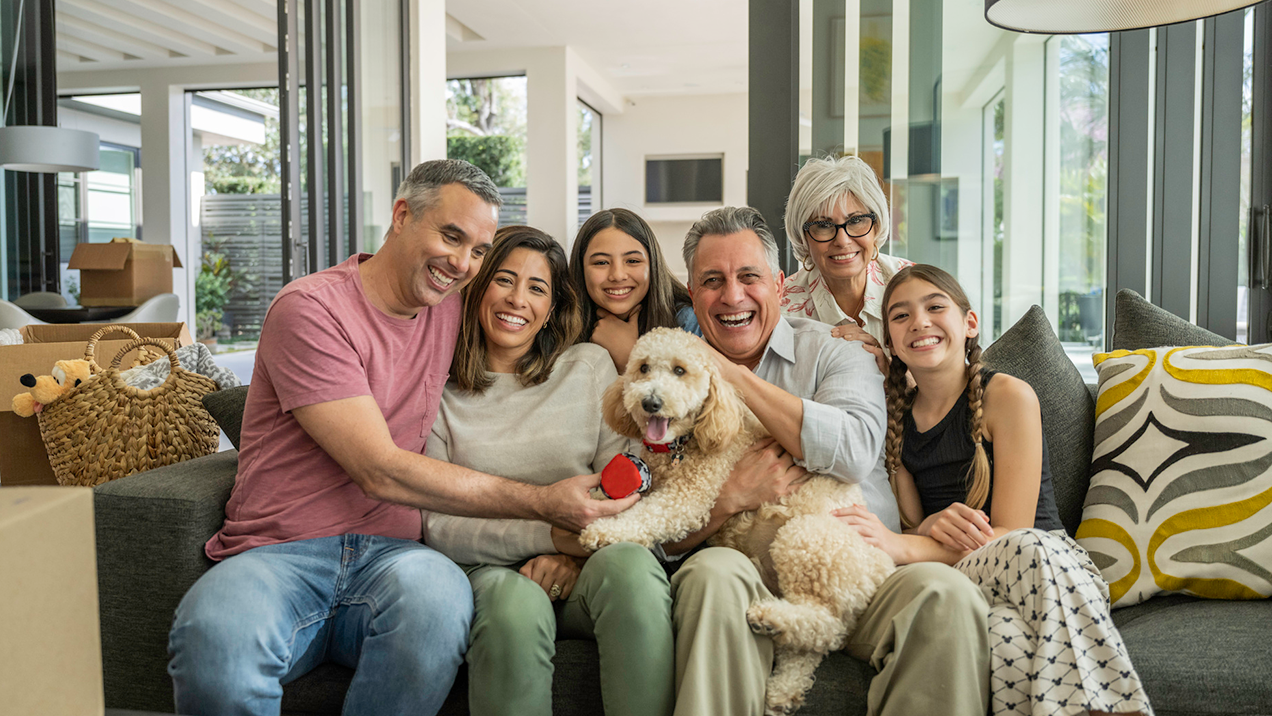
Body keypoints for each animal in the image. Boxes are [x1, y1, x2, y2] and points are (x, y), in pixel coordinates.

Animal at [582, 328, 895, 712]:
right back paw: (783, 689)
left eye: (680, 370)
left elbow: (648, 514)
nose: (651, 403)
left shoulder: (687, 498)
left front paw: (604, 530)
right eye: (642, 368)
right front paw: (595, 501)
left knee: (828, 626)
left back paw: (770, 619)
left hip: (806, 540)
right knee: (809, 645)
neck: (681, 446)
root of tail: (883, 569)